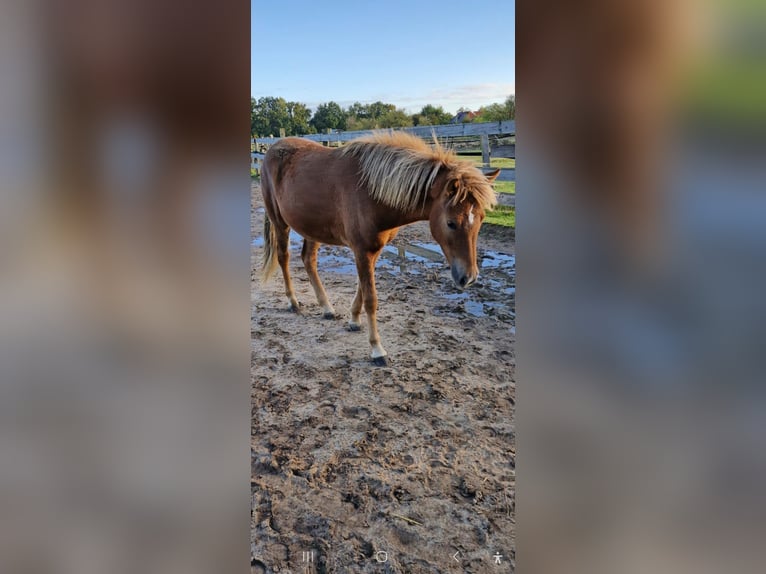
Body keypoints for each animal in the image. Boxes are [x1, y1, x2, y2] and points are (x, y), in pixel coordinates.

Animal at [260, 132, 500, 364]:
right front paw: (377, 349)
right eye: (451, 223)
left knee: (308, 260)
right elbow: (371, 299)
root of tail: (271, 150)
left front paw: (354, 320)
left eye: (481, 218)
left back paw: (326, 307)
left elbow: (361, 287)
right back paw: (293, 302)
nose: (468, 278)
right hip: (279, 222)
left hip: (312, 229)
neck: (371, 192)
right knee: (284, 257)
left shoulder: (373, 250)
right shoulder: (362, 250)